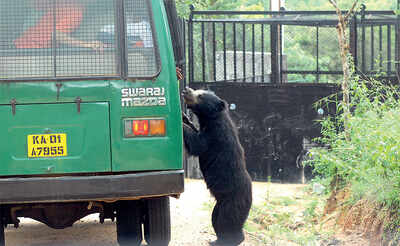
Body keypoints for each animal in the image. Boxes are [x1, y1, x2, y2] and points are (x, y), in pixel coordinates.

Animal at [182, 87, 252, 245]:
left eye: (201, 95)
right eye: (198, 90)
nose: (186, 90)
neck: (211, 119)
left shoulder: (215, 135)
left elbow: (197, 144)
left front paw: (181, 123)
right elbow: (194, 131)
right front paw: (184, 117)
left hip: (231, 202)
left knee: (226, 221)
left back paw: (229, 240)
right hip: (219, 205)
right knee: (216, 219)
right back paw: (217, 239)